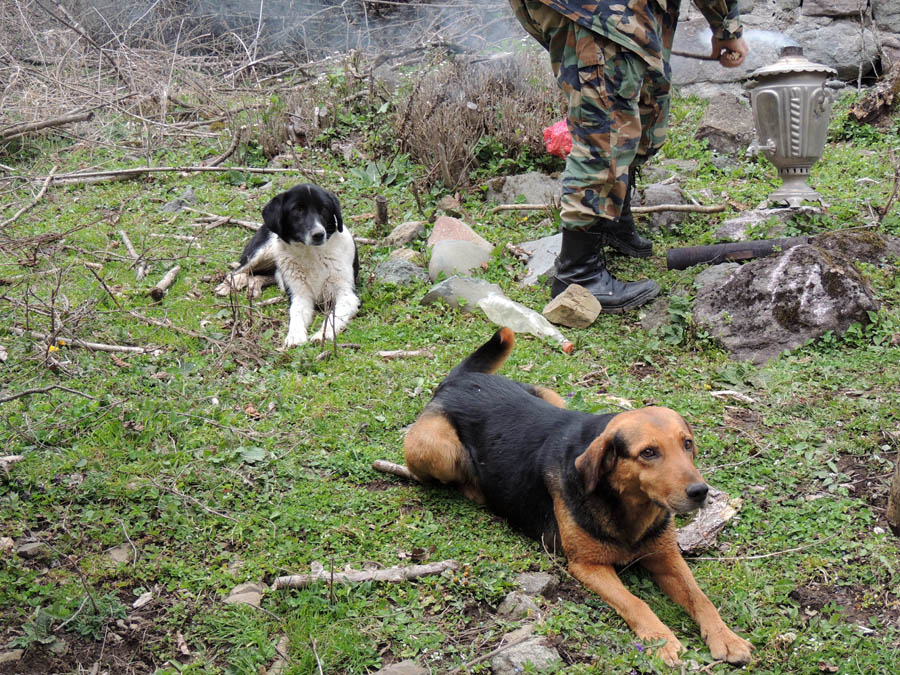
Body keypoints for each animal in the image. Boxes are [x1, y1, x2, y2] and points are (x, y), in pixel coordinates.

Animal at [214, 185, 358, 348]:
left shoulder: (347, 296)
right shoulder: (300, 295)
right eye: (297, 210)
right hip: (264, 252)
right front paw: (295, 335)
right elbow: (295, 314)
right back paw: (229, 285)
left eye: (324, 209)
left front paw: (322, 334)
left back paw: (252, 287)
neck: (311, 254)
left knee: (260, 275)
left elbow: (333, 317)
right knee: (237, 270)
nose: (319, 234)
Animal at [402, 328, 752, 664]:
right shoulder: (587, 565)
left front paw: (726, 637)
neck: (627, 507)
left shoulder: (666, 556)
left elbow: (701, 598)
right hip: (436, 449)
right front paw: (660, 640)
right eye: (648, 453)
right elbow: (635, 602)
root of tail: (460, 380)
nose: (700, 492)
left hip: (550, 396)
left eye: (687, 444)